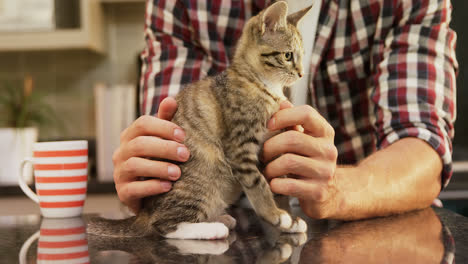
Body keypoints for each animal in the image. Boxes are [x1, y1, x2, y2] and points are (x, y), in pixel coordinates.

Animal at [89, 1, 312, 239]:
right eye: (288, 56)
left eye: (301, 55)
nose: (301, 73)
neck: (258, 82)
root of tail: (144, 213)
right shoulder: (239, 147)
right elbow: (257, 182)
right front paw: (277, 215)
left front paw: (290, 217)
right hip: (202, 175)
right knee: (165, 226)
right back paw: (212, 228)